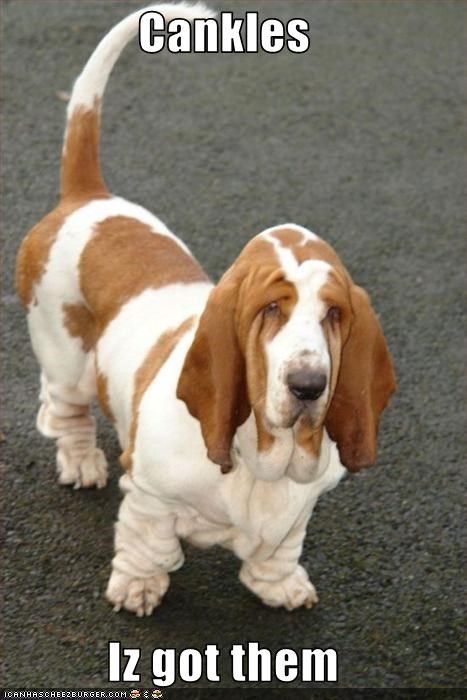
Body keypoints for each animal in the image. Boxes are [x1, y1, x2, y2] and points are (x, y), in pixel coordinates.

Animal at [15, 2, 394, 616]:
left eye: (334, 313)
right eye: (271, 308)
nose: (309, 385)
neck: (262, 459)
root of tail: (88, 197)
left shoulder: (299, 509)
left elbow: (282, 547)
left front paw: (280, 585)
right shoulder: (148, 493)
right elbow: (148, 543)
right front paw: (138, 588)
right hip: (64, 351)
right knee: (64, 408)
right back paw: (80, 462)